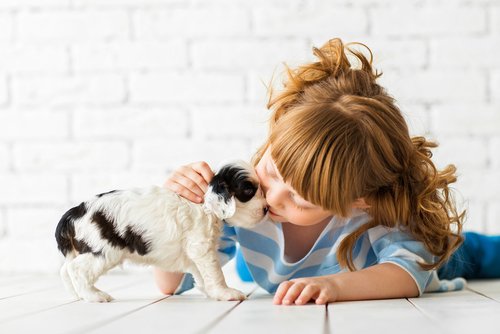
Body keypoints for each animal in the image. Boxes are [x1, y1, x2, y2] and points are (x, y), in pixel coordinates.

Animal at [55, 160, 270, 304]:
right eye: (248, 191)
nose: (267, 208)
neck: (205, 205)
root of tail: (74, 212)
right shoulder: (202, 247)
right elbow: (215, 272)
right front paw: (225, 293)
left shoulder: (194, 253)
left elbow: (201, 274)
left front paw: (209, 291)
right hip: (103, 251)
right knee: (76, 269)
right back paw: (95, 296)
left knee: (66, 268)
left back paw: (76, 295)